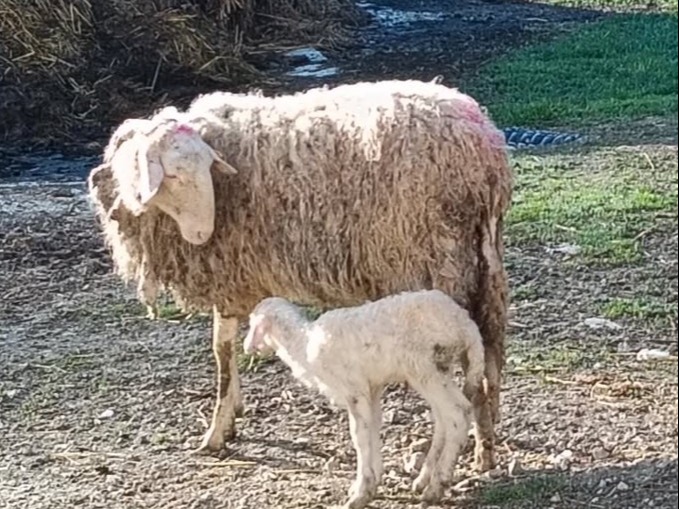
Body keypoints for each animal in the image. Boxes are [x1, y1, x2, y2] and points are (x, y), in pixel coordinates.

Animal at [86, 78, 512, 471]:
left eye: (203, 170)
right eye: (173, 175)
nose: (203, 233)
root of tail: (485, 150)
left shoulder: (229, 276)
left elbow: (221, 354)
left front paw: (216, 431)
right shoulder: (241, 279)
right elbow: (227, 351)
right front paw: (232, 415)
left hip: (436, 261)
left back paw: (460, 446)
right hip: (484, 261)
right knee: (490, 346)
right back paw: (487, 432)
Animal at [243, 289, 486, 508]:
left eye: (253, 323)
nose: (247, 348)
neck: (302, 344)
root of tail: (466, 324)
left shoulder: (354, 389)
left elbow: (358, 435)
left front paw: (361, 492)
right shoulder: (372, 388)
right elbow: (372, 428)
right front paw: (372, 480)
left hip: (424, 367)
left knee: (457, 413)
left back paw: (437, 486)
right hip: (436, 370)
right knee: (444, 418)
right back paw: (424, 479)